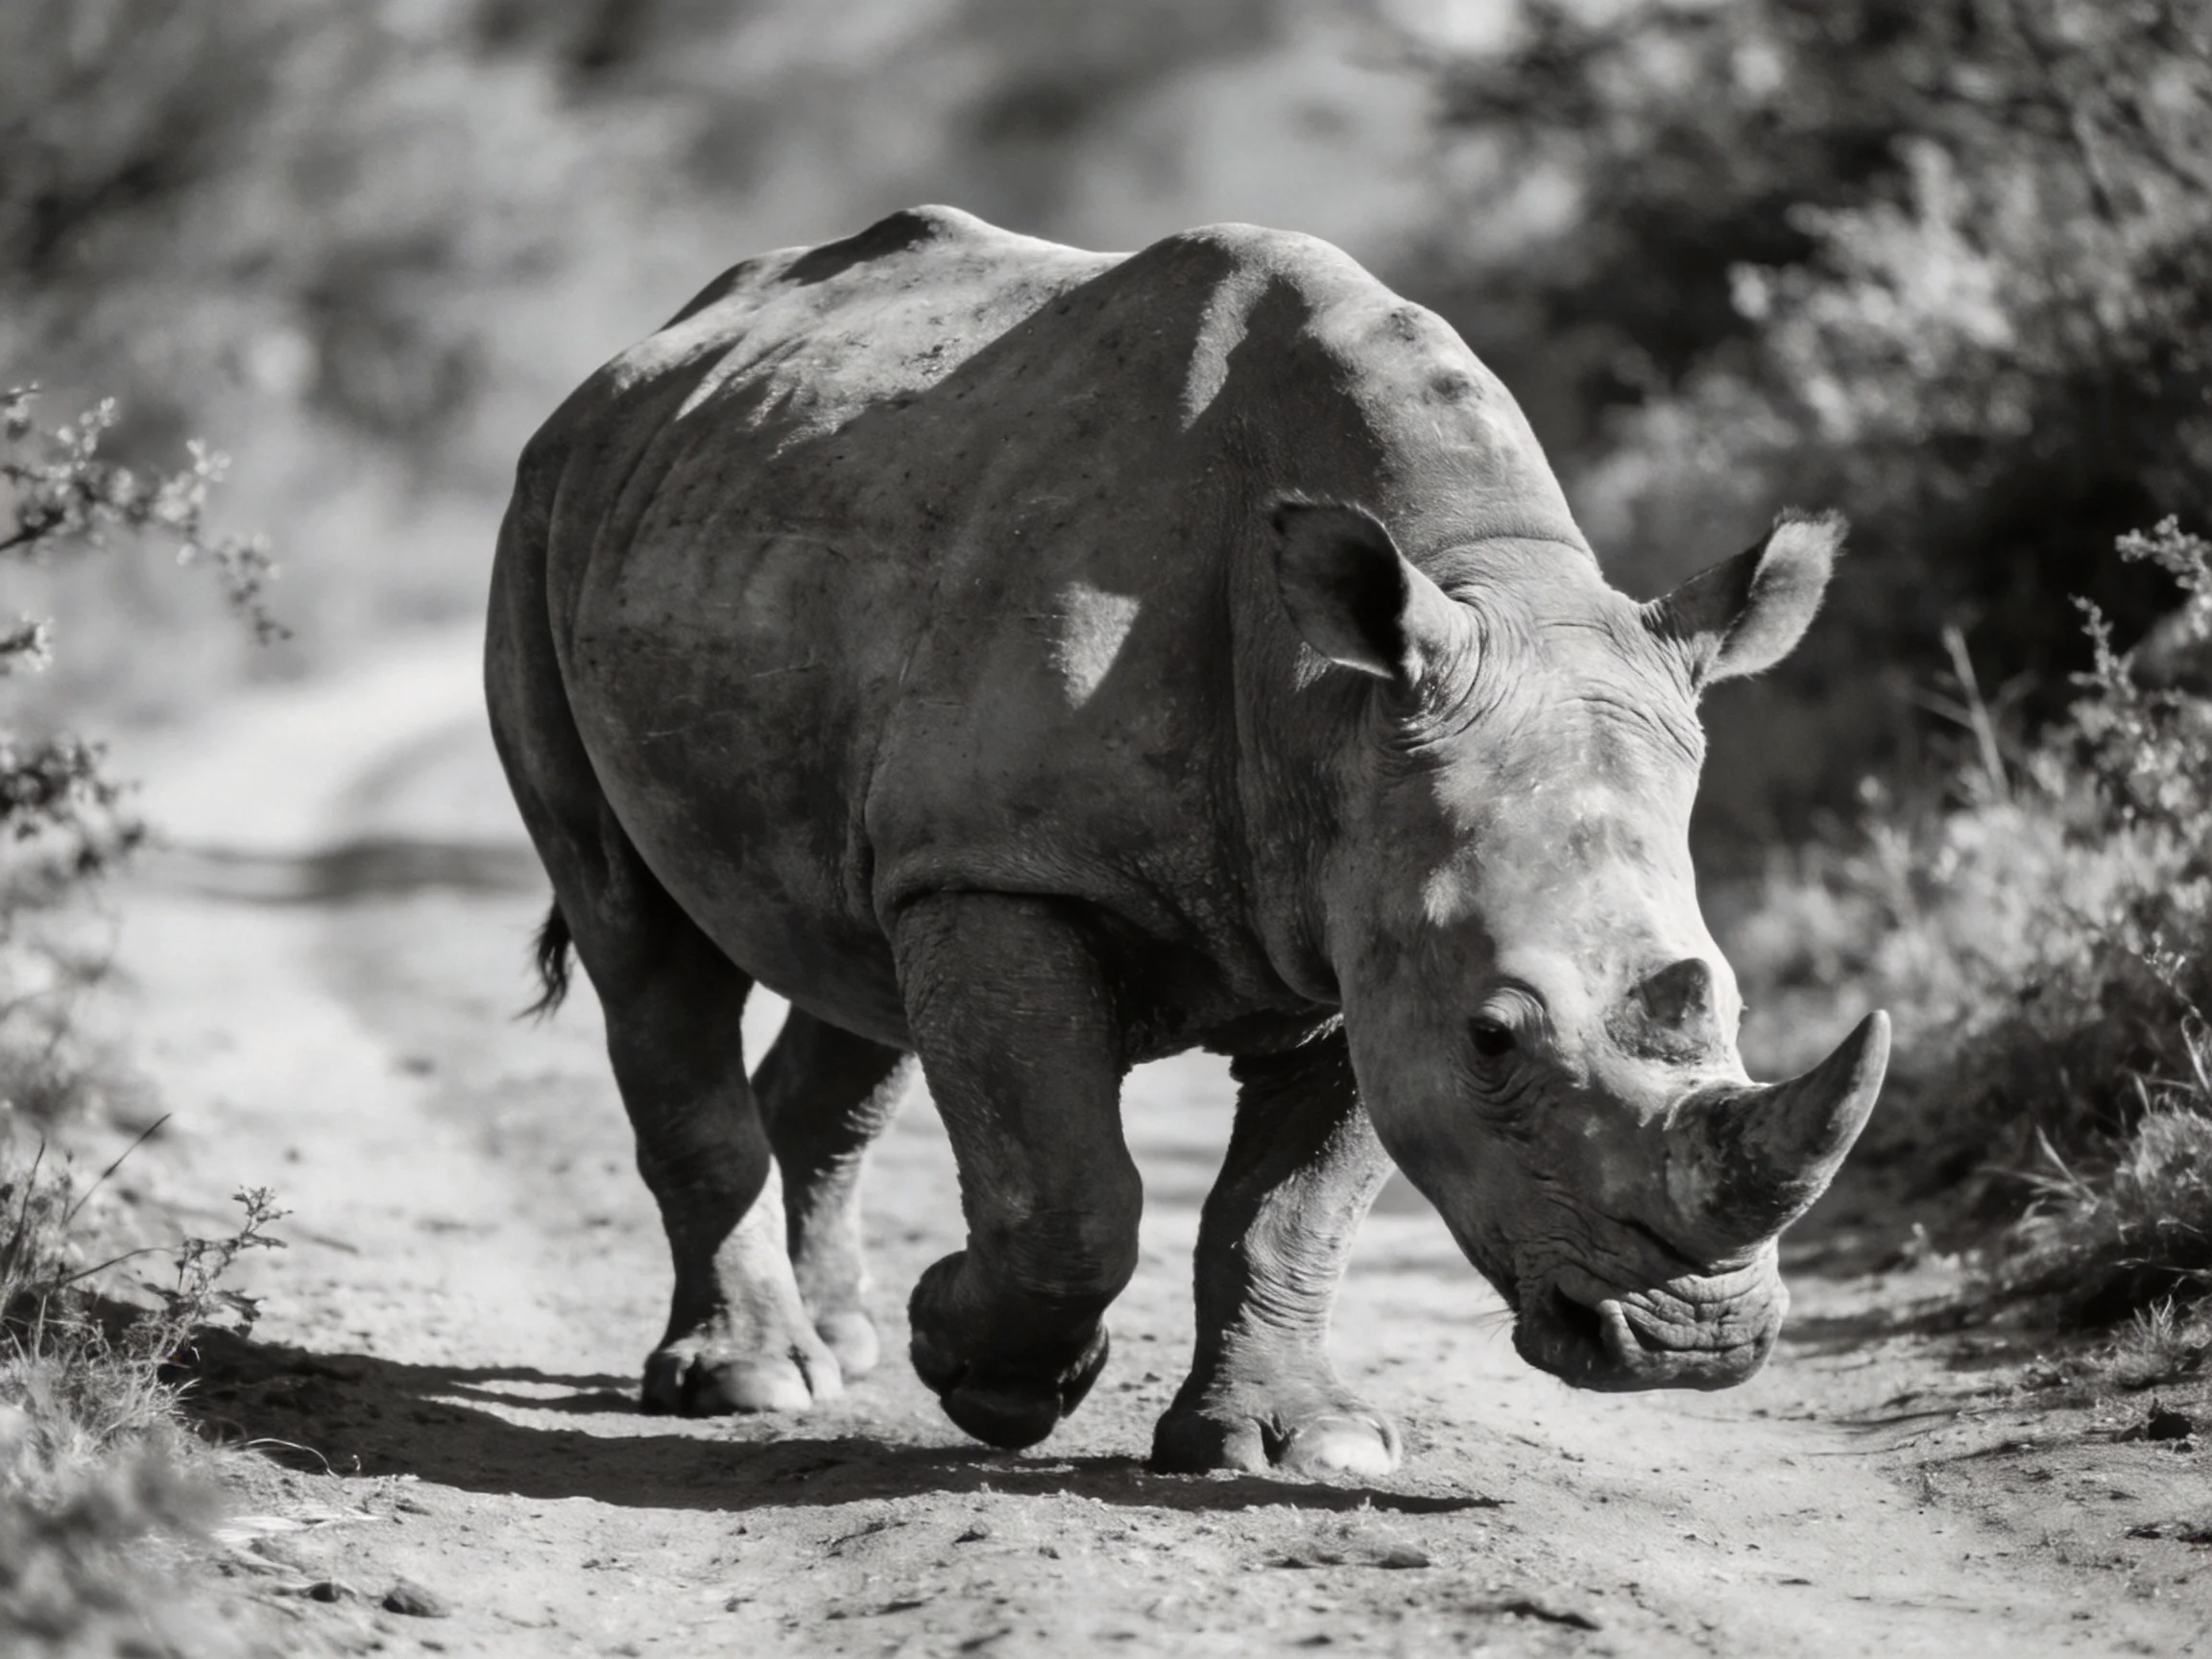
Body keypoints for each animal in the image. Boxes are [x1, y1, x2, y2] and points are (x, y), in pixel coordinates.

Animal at [486, 205, 1888, 1479]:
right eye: (1495, 1037)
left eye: (1736, 1006)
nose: (1692, 1342)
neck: (1342, 697)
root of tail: (633, 363)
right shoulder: (1011, 872)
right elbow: (1070, 1193)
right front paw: (985, 1375)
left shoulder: (1362, 921)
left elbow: (1291, 1213)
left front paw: (1296, 1449)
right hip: (542, 518)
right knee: (639, 937)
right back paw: (753, 1382)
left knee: (850, 959)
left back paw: (842, 1347)